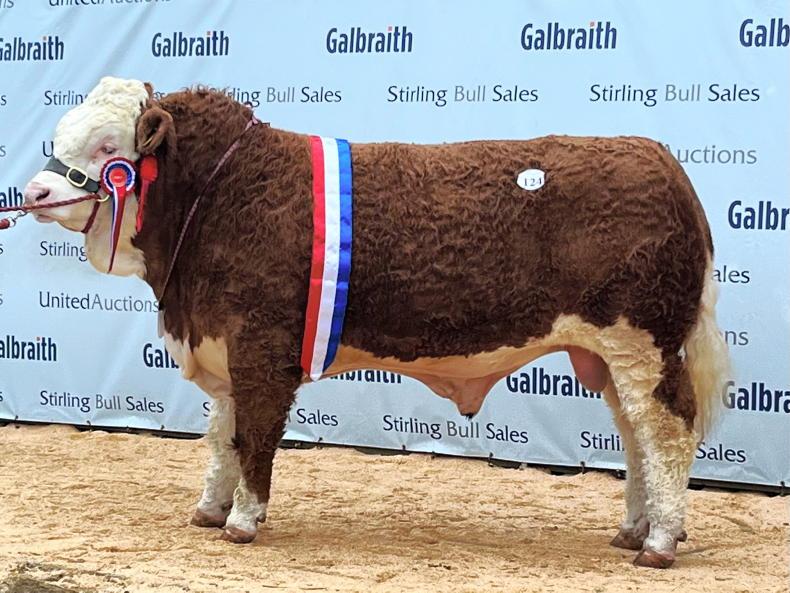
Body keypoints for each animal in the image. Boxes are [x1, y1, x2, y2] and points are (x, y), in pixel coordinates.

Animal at [22, 76, 730, 568]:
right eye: (59, 138)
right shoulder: (223, 348)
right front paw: (208, 511)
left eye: (109, 147)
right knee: (634, 435)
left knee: (665, 433)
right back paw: (633, 529)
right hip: (612, 355)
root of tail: (661, 160)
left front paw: (244, 522)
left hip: (643, 340)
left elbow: (255, 439)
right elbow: (222, 438)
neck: (220, 198)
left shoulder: (262, 349)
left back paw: (661, 542)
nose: (33, 193)